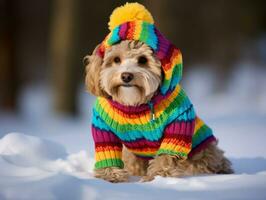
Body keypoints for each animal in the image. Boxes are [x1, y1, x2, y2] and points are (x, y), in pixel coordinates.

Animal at [83, 2, 233, 183]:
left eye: (142, 60)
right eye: (116, 59)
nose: (126, 76)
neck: (135, 105)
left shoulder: (179, 122)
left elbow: (167, 155)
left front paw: (160, 176)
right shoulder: (103, 127)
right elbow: (106, 150)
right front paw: (111, 175)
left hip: (202, 149)